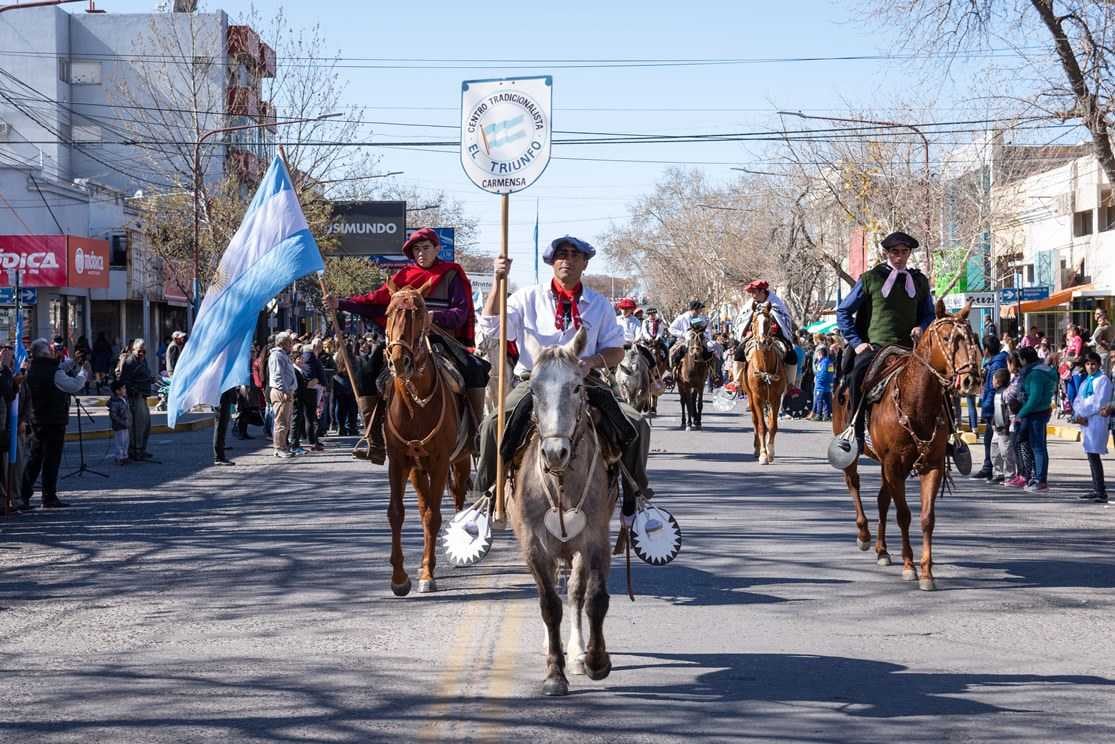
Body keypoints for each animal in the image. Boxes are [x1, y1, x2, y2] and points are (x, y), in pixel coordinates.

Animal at [383, 287, 470, 597]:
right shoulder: (398, 461)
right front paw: (400, 578)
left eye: (419, 314)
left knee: (457, 498)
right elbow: (397, 513)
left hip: (461, 459)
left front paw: (427, 575)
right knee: (423, 509)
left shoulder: (441, 461)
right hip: (417, 471)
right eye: (388, 312)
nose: (400, 361)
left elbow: (434, 517)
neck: (415, 406)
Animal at [744, 303, 789, 466]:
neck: (764, 367)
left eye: (769, 321)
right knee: (756, 421)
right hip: (751, 397)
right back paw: (757, 449)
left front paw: (770, 452)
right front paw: (763, 454)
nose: (762, 342)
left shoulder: (776, 398)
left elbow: (772, 425)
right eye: (753, 321)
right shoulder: (757, 398)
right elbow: (762, 426)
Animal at [834, 303, 981, 593]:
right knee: (854, 484)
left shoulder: (931, 465)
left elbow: (926, 517)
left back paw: (882, 550)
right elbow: (903, 515)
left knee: (882, 500)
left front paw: (926, 572)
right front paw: (909, 566)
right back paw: (864, 535)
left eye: (971, 338)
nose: (970, 380)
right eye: (946, 337)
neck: (916, 402)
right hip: (860, 456)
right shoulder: (894, 465)